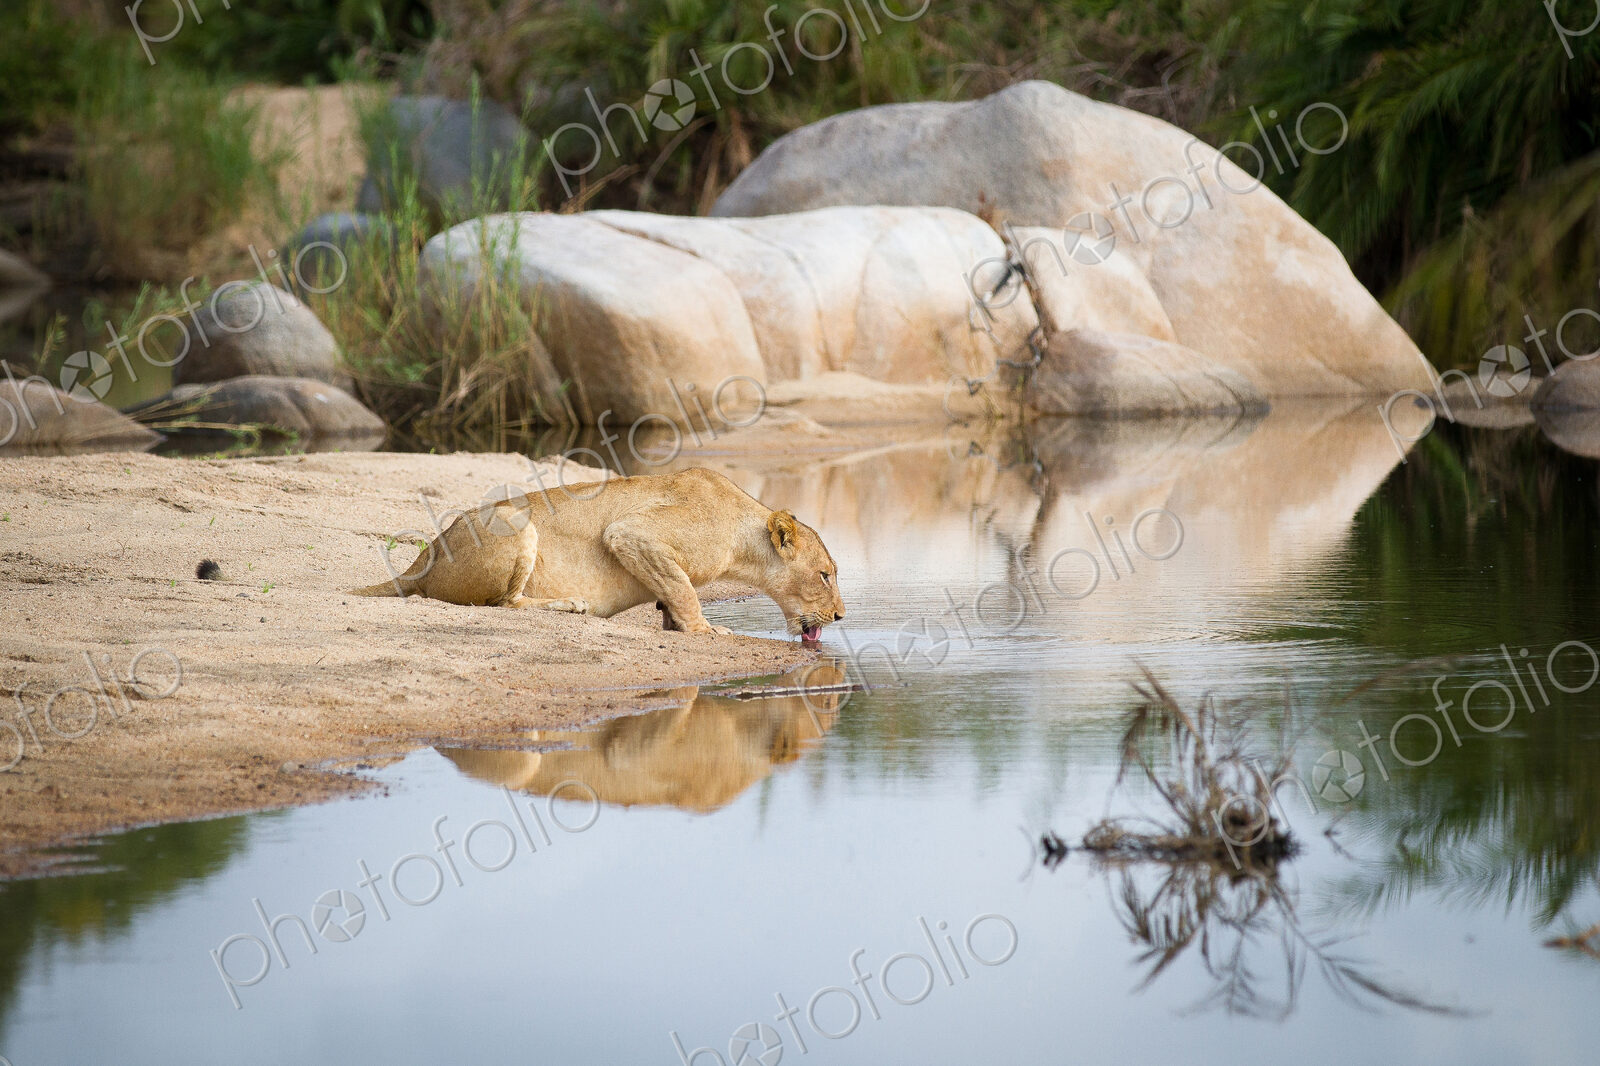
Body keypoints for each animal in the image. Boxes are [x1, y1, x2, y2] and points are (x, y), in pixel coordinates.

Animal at [349, 467, 845, 641]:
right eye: (825, 575)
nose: (841, 617)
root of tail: (424, 557)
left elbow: (672, 590)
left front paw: (673, 621)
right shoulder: (631, 534)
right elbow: (684, 589)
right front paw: (705, 628)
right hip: (515, 521)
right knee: (504, 603)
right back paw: (570, 605)